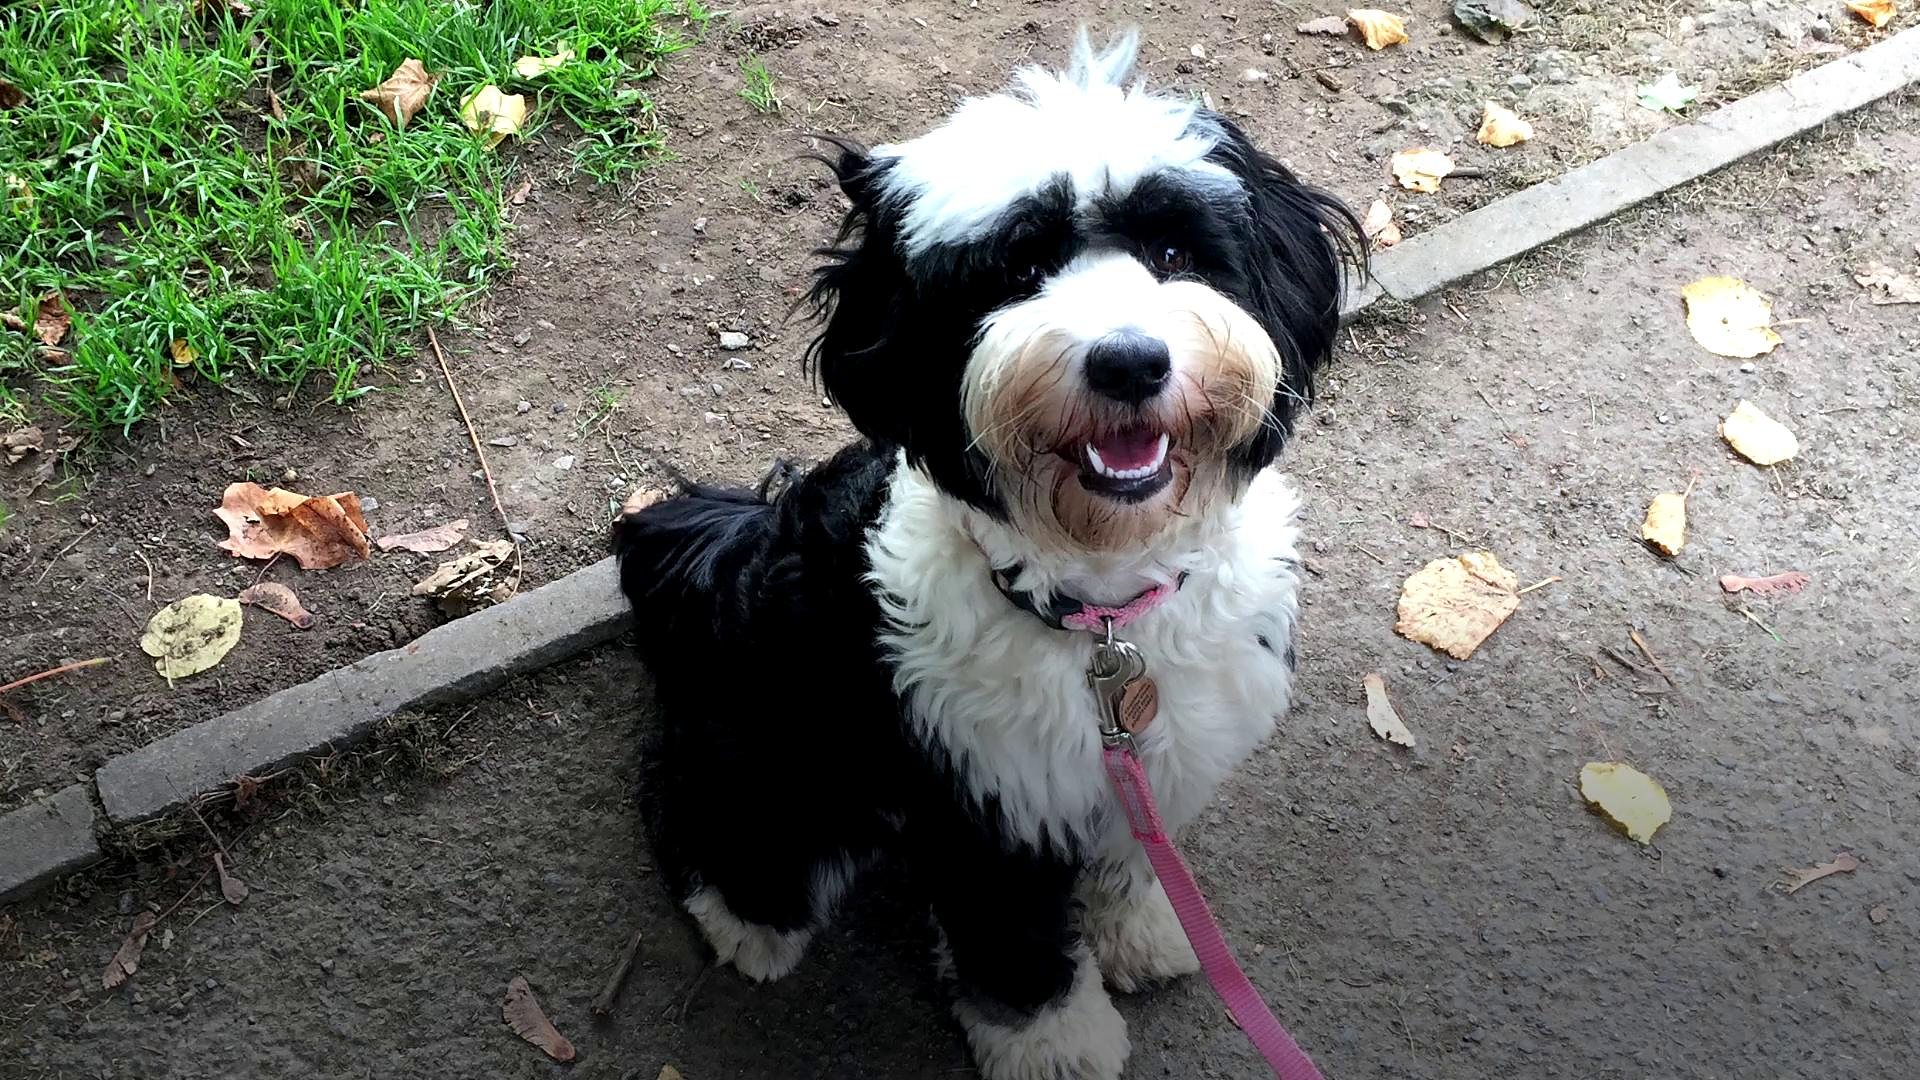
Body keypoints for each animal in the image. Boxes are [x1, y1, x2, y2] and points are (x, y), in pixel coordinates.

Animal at [610, 31, 1351, 1076]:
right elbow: (1016, 940)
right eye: (1015, 271)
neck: (1098, 615)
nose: (1131, 360)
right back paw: (748, 919)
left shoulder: (1147, 761)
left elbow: (1132, 858)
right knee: (697, 813)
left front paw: (1139, 933)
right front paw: (1054, 1044)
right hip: (769, 744)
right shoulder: (984, 804)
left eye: (1173, 252)